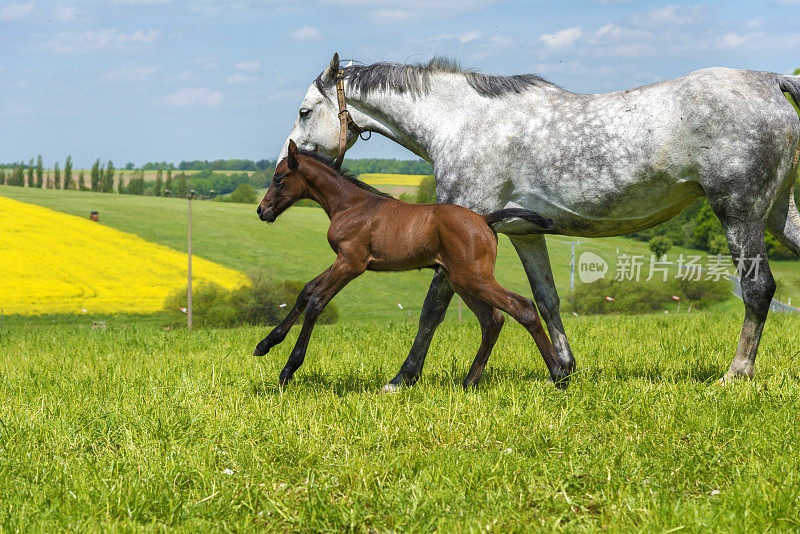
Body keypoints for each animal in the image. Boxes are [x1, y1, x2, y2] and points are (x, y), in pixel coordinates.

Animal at [255, 139, 564, 390]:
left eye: (279, 178)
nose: (262, 210)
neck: (350, 205)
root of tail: (484, 220)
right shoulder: (342, 261)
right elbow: (306, 291)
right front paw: (265, 344)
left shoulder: (351, 263)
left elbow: (316, 303)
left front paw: (288, 369)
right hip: (461, 281)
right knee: (492, 321)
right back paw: (469, 382)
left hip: (474, 278)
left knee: (522, 308)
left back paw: (559, 376)